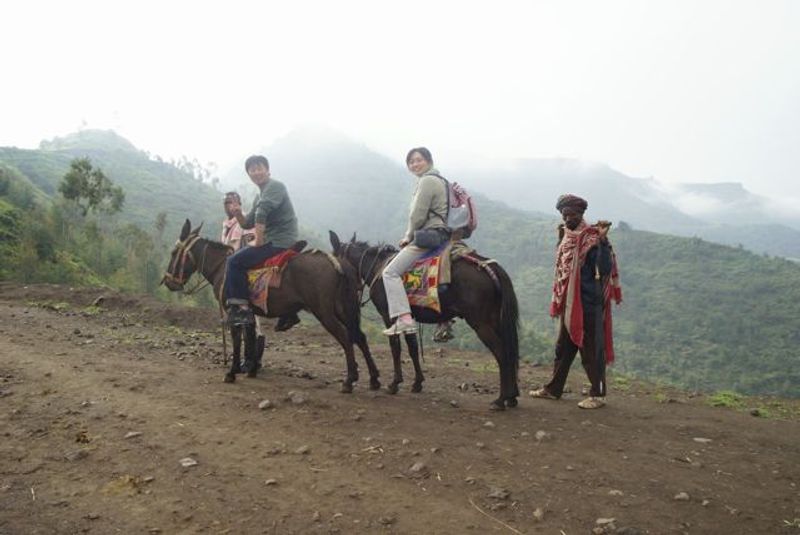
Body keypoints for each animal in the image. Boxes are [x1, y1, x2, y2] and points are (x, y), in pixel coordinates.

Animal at [162, 220, 382, 392]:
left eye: (173, 252)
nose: (168, 282)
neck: (222, 267)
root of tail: (337, 263)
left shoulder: (232, 311)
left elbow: (237, 341)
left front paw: (232, 372)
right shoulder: (249, 313)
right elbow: (251, 338)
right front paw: (250, 368)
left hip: (325, 312)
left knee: (346, 337)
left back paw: (349, 380)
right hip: (347, 309)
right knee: (359, 337)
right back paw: (374, 378)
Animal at [330, 230, 520, 410]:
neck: (378, 267)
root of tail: (490, 267)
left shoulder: (389, 316)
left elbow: (395, 348)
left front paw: (394, 383)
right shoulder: (408, 318)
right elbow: (413, 348)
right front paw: (417, 383)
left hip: (481, 323)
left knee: (501, 353)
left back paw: (500, 400)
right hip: (496, 321)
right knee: (509, 351)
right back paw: (511, 397)